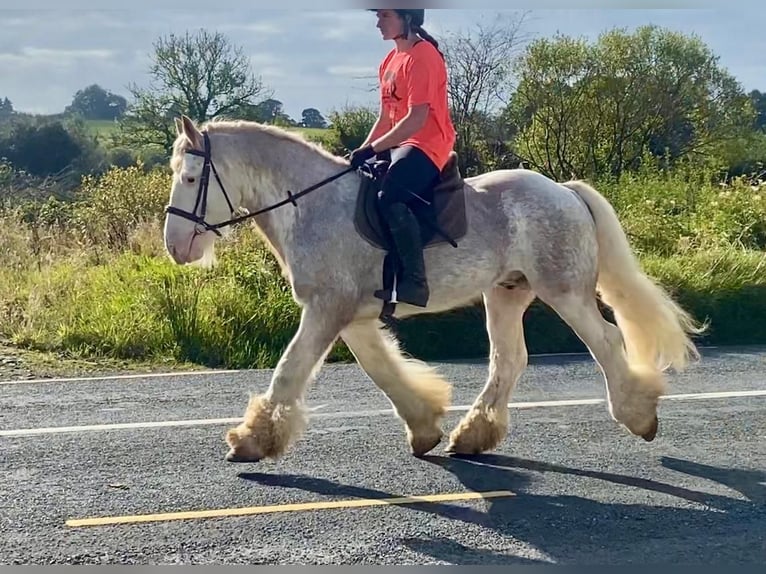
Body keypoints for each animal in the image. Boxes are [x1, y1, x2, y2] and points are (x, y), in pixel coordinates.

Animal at [165, 115, 704, 466]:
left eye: (190, 177)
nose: (175, 246)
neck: (314, 205)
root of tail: (563, 190)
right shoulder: (350, 317)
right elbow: (383, 371)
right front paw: (424, 426)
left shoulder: (326, 310)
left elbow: (289, 371)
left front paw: (251, 440)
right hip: (505, 293)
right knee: (509, 360)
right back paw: (472, 435)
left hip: (565, 291)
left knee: (606, 342)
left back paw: (639, 416)